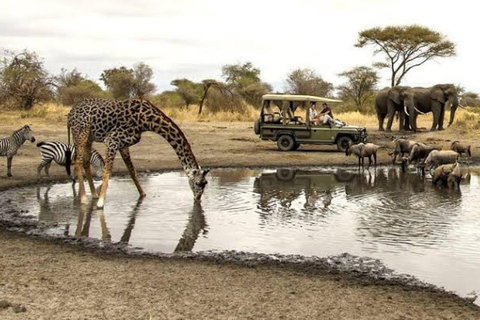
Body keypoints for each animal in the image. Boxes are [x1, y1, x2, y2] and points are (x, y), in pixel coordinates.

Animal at [67, 99, 208, 208]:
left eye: (205, 183)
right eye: (198, 183)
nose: (198, 199)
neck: (146, 121)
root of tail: (70, 114)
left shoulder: (123, 145)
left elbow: (132, 171)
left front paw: (143, 195)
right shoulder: (111, 140)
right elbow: (107, 170)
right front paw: (101, 204)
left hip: (89, 137)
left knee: (85, 161)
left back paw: (94, 195)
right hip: (81, 133)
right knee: (77, 160)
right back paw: (84, 199)